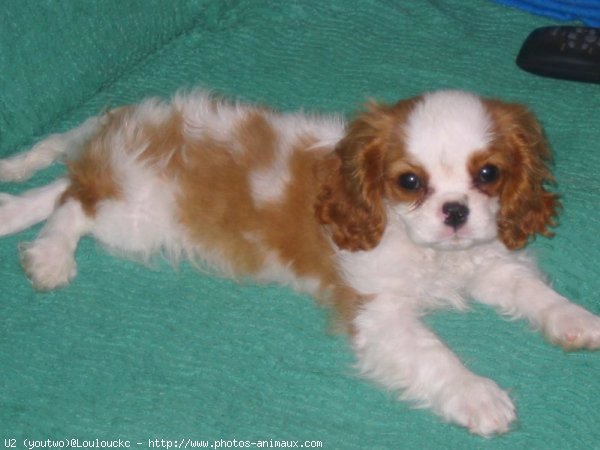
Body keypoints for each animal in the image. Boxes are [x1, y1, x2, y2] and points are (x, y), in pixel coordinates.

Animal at [1, 89, 600, 434]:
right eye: (409, 182)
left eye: (488, 174)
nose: (455, 211)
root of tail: (119, 120)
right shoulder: (379, 313)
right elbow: (436, 355)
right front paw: (477, 394)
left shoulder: (488, 261)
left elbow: (531, 292)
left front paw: (575, 319)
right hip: (138, 216)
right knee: (73, 203)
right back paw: (50, 256)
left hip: (127, 201)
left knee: (62, 189)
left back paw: (13, 213)